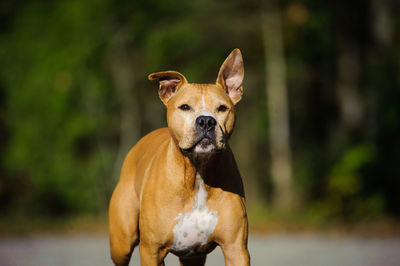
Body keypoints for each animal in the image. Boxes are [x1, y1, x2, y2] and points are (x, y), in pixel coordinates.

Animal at [108, 48, 248, 264]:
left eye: (222, 108)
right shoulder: (151, 251)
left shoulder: (236, 249)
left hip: (193, 258)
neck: (197, 174)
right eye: (185, 107)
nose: (206, 121)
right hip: (121, 242)